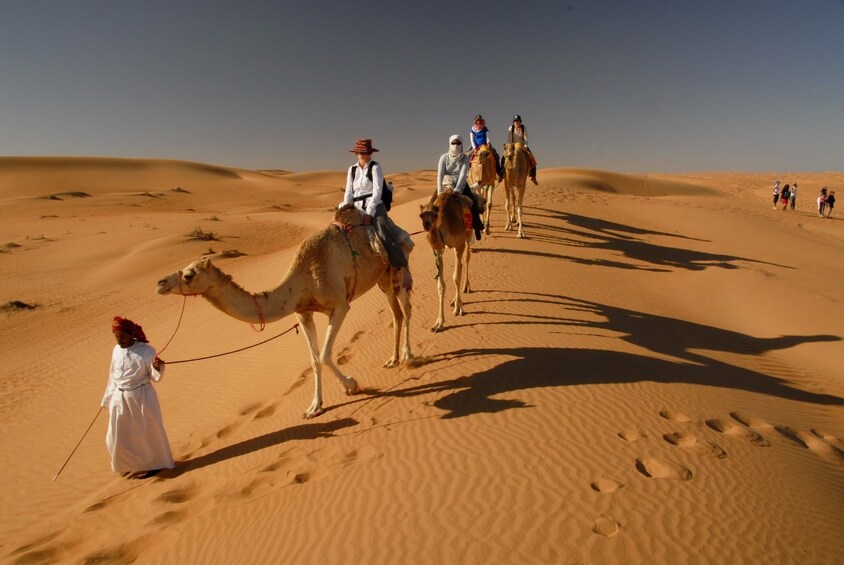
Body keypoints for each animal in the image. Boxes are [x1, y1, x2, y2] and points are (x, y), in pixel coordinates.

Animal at [157, 205, 414, 416]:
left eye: (189, 275)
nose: (160, 283)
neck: (304, 277)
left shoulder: (340, 306)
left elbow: (324, 354)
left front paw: (351, 385)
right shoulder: (303, 313)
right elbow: (314, 360)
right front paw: (314, 407)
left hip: (397, 267)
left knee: (406, 308)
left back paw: (409, 356)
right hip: (382, 277)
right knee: (396, 313)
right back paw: (393, 359)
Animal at [420, 191, 478, 330]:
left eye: (435, 215)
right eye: (421, 215)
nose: (426, 225)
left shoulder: (459, 244)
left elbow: (456, 276)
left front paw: (458, 308)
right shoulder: (438, 250)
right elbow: (441, 285)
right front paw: (439, 323)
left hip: (468, 236)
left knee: (466, 259)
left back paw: (466, 288)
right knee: (461, 265)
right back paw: (454, 300)